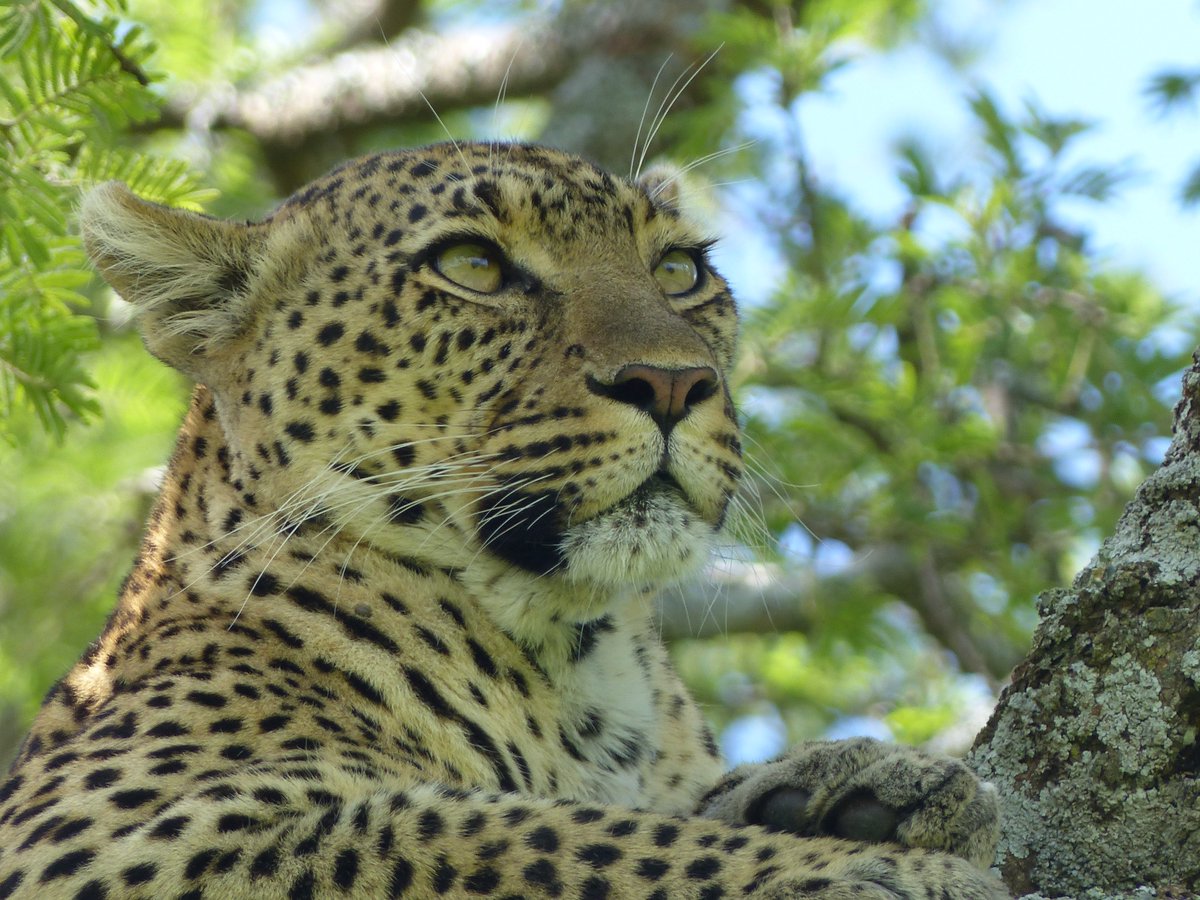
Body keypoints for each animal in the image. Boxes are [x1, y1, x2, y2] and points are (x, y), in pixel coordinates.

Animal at [0, 140, 1007, 899]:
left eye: (679, 270)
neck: (585, 658)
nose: (674, 382)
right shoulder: (108, 829)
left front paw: (866, 783)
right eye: (472, 267)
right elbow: (509, 833)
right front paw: (874, 869)